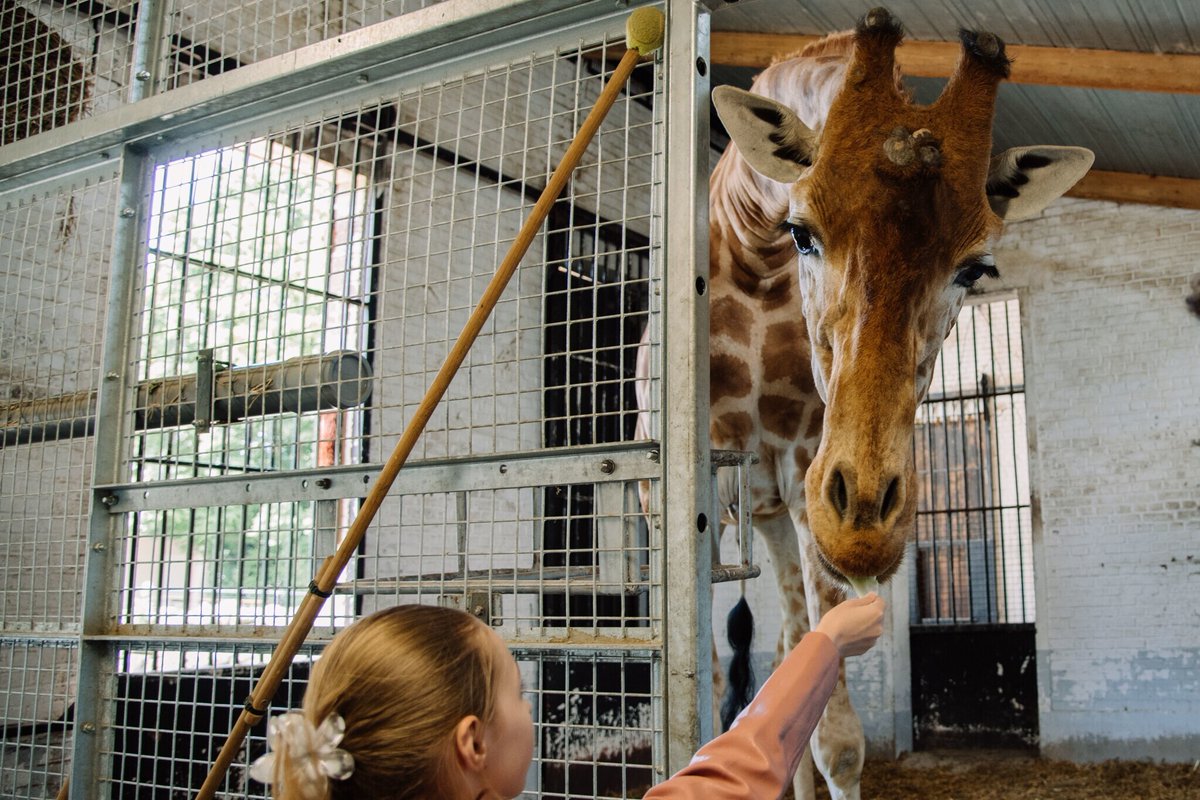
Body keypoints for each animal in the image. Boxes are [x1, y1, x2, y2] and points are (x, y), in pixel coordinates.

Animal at [641, 7, 1094, 799]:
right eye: (801, 232)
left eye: (975, 269)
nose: (866, 530)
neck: (753, 259)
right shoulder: (676, 498)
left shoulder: (802, 481)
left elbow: (838, 739)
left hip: (776, 514)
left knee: (788, 645)